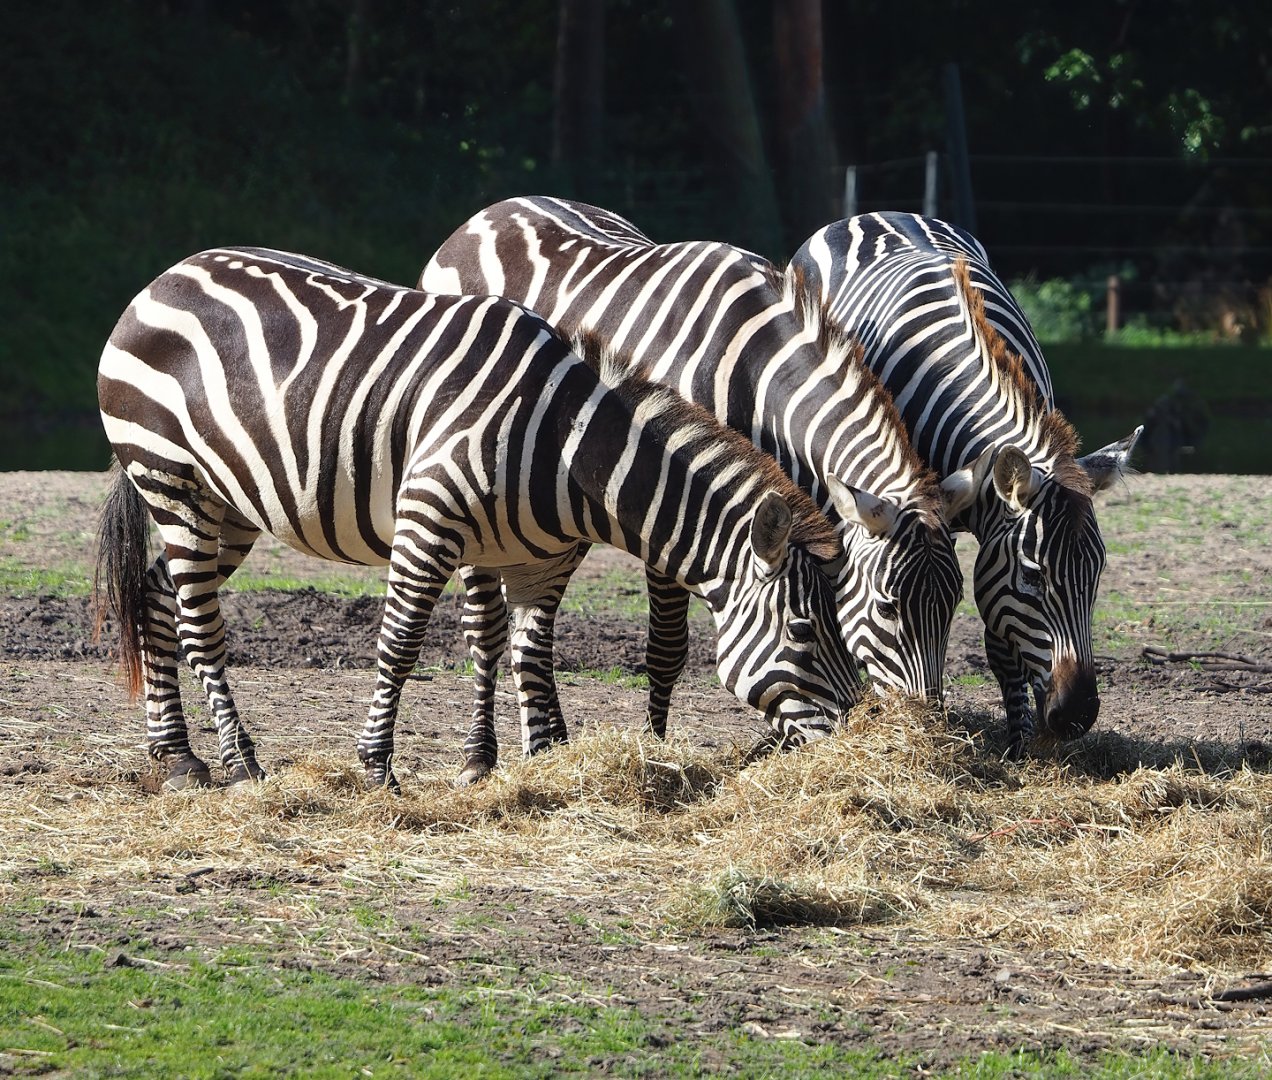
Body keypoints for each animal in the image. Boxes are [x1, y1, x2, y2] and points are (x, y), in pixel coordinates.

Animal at [93, 246, 864, 792]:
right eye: (804, 631)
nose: (858, 737)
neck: (567, 446)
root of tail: (165, 276)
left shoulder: (539, 561)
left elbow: (526, 651)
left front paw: (541, 761)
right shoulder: (428, 522)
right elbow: (401, 645)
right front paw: (376, 765)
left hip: (229, 506)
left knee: (156, 597)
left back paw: (177, 757)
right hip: (173, 480)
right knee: (199, 624)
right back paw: (240, 760)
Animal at [420, 196, 971, 775]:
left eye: (955, 603)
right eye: (887, 606)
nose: (927, 729)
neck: (758, 376)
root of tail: (497, 209)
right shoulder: (670, 504)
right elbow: (668, 648)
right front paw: (657, 747)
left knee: (535, 622)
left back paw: (550, 743)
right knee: (485, 626)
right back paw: (479, 756)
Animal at [789, 212, 1141, 755]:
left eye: (1098, 572)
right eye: (1034, 576)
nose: (1076, 716)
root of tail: (873, 214)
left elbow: (1001, 643)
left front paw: (1019, 746)